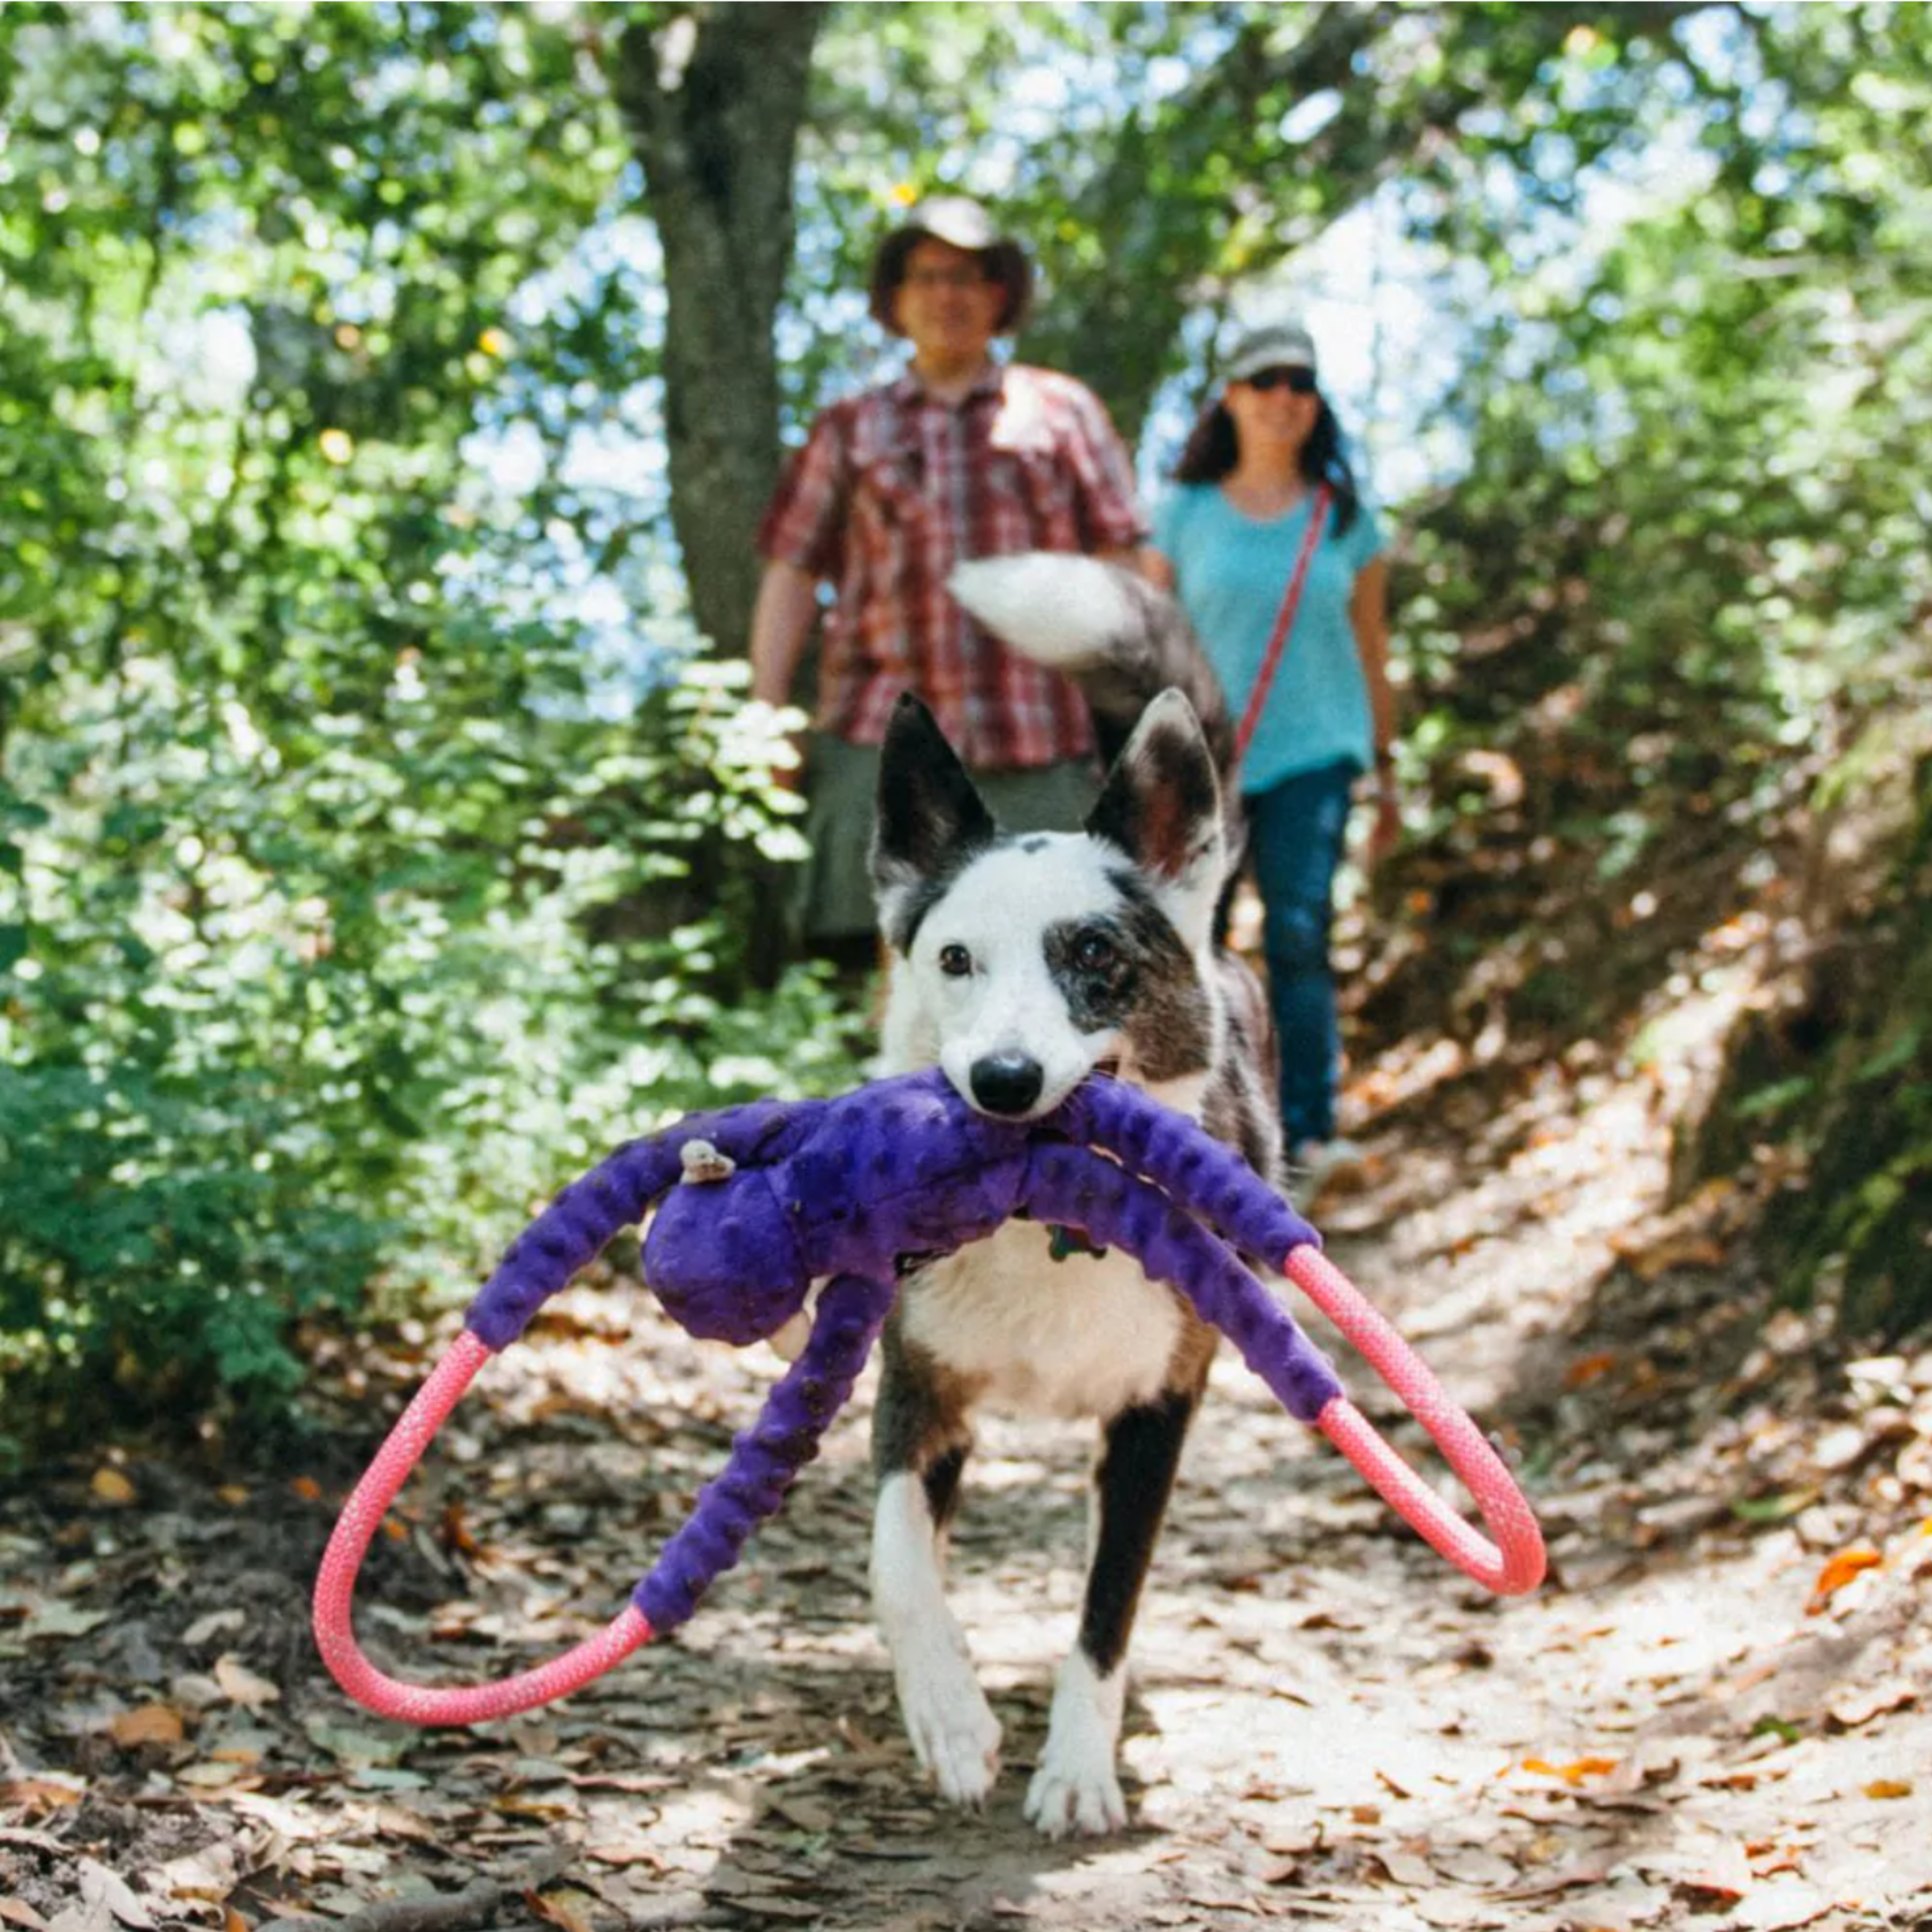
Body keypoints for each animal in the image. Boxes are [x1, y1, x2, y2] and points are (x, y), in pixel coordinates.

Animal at [861, 552, 1283, 1831]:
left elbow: (1108, 1608)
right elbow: (896, 1564)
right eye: (954, 960)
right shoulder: (917, 1384)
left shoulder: (1157, 1413)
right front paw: (950, 1718)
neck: (1041, 1224)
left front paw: (1078, 1771)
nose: (1003, 1083)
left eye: (1094, 955)